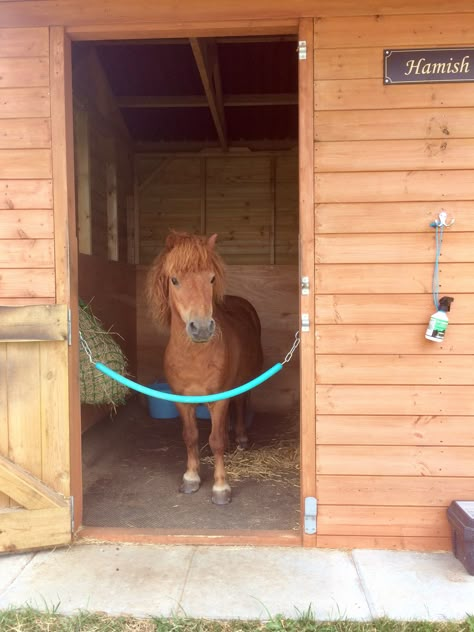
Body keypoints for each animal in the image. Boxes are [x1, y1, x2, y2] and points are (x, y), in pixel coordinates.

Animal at [146, 231, 262, 504]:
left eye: (211, 278)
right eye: (174, 280)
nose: (201, 328)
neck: (194, 356)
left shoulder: (219, 399)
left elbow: (215, 440)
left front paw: (221, 487)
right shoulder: (182, 400)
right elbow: (190, 437)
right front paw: (191, 478)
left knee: (241, 403)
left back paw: (240, 437)